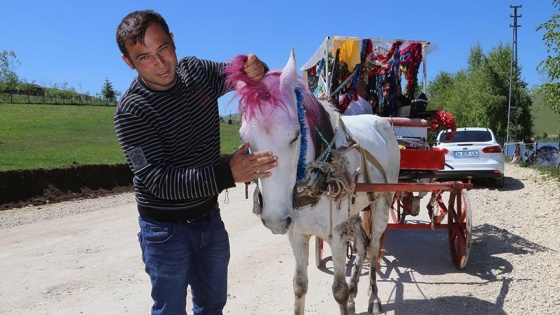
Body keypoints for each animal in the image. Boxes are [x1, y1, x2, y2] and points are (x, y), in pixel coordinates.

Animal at [225, 50, 400, 314]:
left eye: (295, 136)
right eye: (245, 138)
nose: (275, 219)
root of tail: (381, 121)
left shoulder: (335, 234)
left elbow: (338, 291)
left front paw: (348, 296)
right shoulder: (296, 232)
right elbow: (299, 285)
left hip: (381, 200)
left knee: (374, 246)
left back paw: (374, 297)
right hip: (353, 210)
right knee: (362, 244)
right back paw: (355, 291)